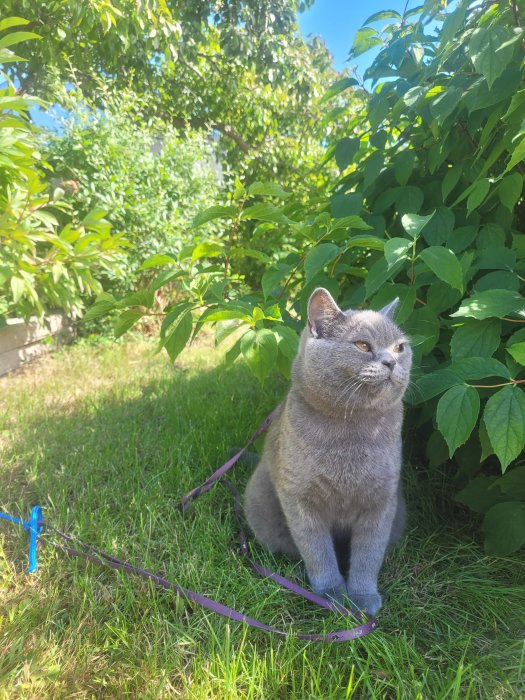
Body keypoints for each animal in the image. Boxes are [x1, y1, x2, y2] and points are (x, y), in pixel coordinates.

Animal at [244, 284, 412, 612]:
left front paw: (363, 597)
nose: (391, 361)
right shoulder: (299, 499)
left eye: (400, 347)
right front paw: (332, 594)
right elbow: (316, 550)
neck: (352, 428)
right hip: (260, 499)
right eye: (362, 345)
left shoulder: (381, 500)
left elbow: (369, 554)